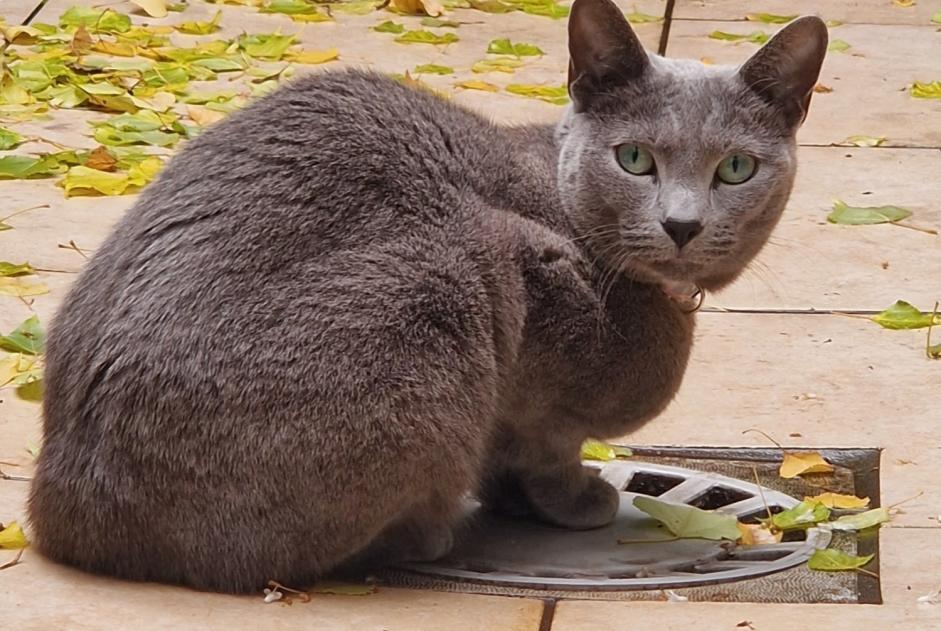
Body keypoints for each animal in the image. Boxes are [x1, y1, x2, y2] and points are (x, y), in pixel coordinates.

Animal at [27, 0, 824, 592]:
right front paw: (574, 499)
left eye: (735, 168)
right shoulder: (532, 274)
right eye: (633, 159)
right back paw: (429, 530)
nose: (682, 224)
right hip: (443, 285)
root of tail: (63, 508)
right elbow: (548, 442)